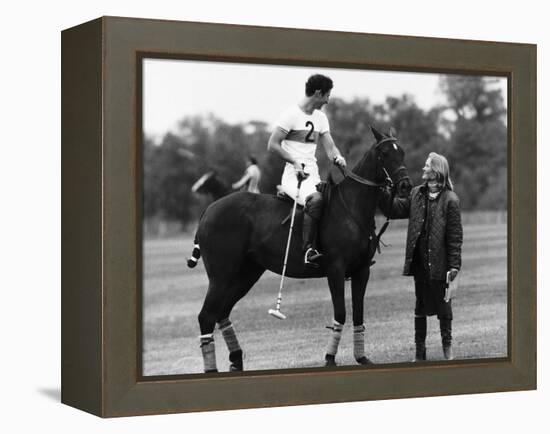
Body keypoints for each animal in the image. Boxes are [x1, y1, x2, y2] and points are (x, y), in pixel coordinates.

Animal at [192, 126, 412, 372]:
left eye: (402, 152)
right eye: (384, 153)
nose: (405, 186)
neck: (352, 208)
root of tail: (209, 209)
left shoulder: (362, 270)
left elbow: (358, 314)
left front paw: (362, 358)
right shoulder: (336, 268)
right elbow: (341, 313)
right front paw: (329, 358)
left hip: (246, 273)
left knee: (221, 312)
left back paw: (236, 361)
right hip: (221, 275)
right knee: (206, 316)